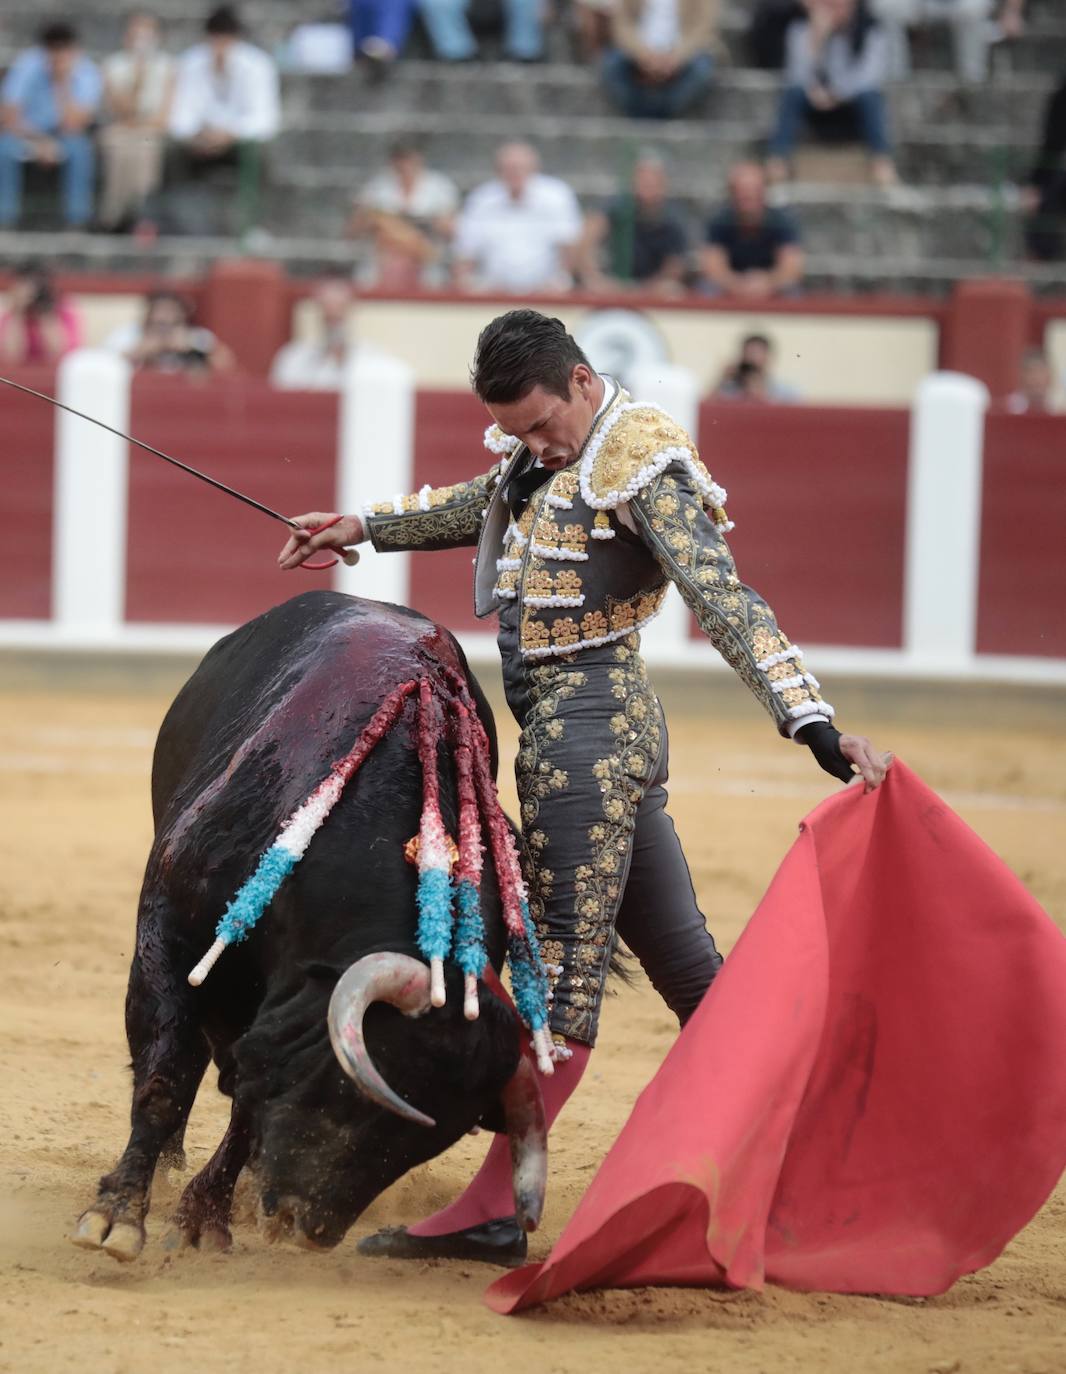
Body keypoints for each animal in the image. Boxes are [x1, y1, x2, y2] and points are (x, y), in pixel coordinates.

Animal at [72, 590, 549, 1258]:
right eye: (352, 1093)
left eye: (429, 1142)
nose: (310, 1228)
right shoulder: (168, 939)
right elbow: (166, 1076)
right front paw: (116, 1216)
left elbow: (250, 1105)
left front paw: (204, 1218)